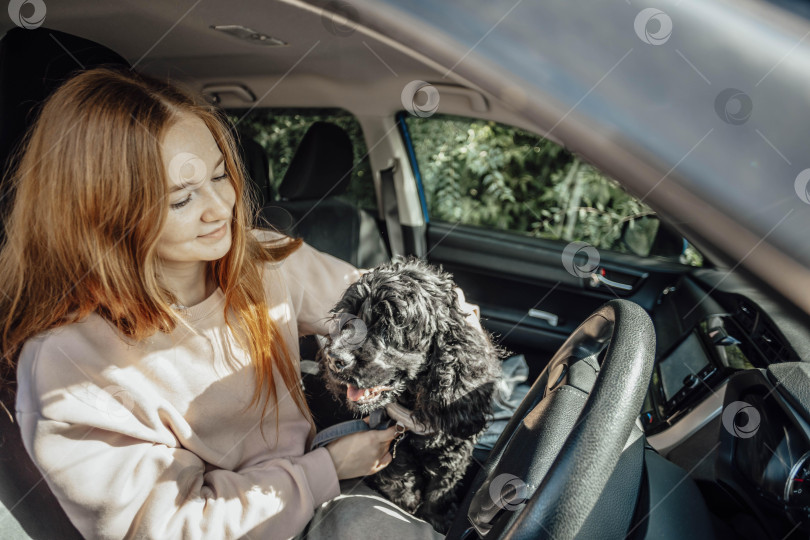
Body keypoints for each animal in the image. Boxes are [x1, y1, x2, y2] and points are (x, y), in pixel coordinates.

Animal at [318, 256, 502, 532]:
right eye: (348, 319)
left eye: (389, 327)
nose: (334, 359)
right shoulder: (392, 453)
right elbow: (401, 482)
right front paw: (409, 508)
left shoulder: (452, 453)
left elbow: (440, 491)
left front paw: (438, 518)